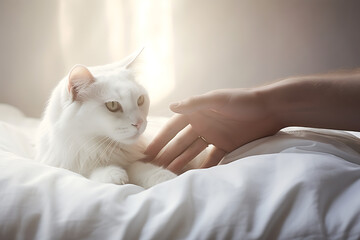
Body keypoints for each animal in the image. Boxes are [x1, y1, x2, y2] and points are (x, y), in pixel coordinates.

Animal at [35, 50, 176, 188]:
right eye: (112, 105)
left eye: (140, 100)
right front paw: (114, 175)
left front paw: (168, 178)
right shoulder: (69, 163)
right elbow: (90, 170)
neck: (102, 149)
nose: (139, 123)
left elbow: (141, 168)